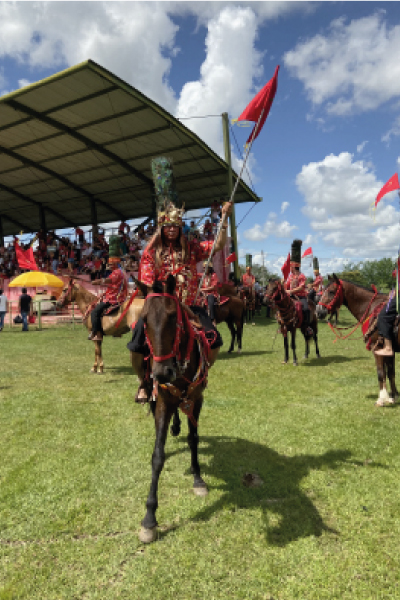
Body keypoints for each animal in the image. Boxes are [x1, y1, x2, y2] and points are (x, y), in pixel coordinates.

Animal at [133, 276, 217, 544]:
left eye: (172, 317)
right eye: (144, 319)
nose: (162, 373)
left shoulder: (196, 398)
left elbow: (194, 438)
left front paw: (198, 478)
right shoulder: (161, 401)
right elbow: (157, 455)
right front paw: (149, 518)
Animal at [318, 274, 396, 406]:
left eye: (331, 291)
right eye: (322, 290)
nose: (318, 311)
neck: (372, 309)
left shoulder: (378, 348)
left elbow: (381, 373)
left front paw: (381, 399)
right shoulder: (390, 351)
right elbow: (390, 372)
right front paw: (393, 397)